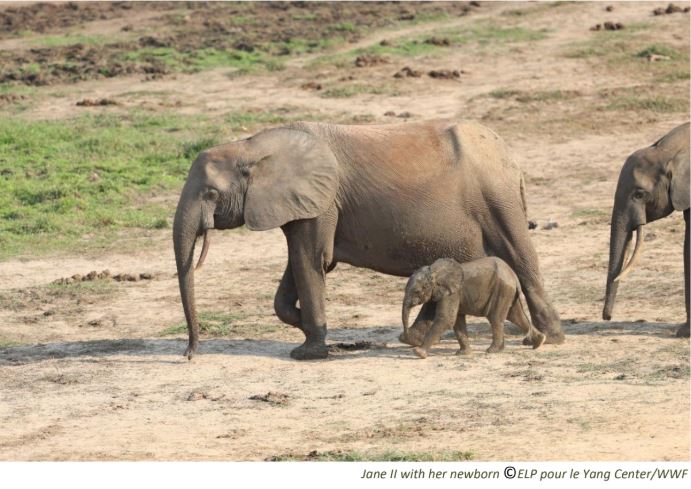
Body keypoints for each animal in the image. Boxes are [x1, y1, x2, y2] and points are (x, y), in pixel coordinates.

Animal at [400, 258, 548, 356]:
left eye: (417, 291)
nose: (404, 337)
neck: (434, 270)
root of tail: (514, 276)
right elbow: (457, 320)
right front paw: (462, 353)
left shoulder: (452, 293)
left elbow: (446, 319)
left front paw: (419, 353)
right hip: (508, 292)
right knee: (516, 316)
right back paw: (539, 342)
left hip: (501, 290)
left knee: (496, 318)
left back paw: (492, 351)